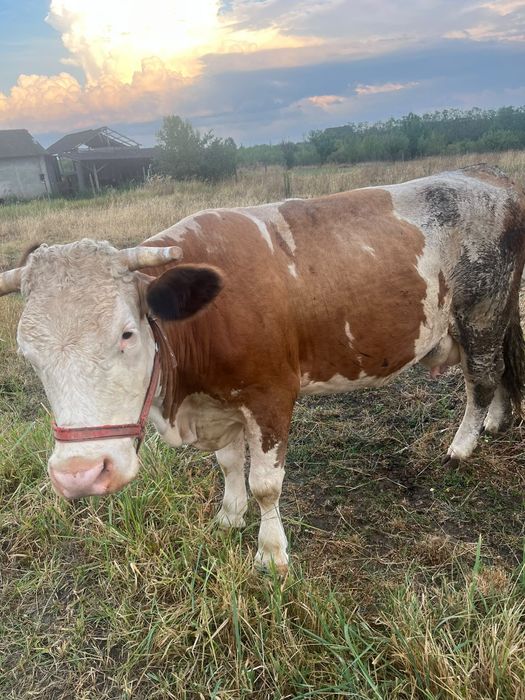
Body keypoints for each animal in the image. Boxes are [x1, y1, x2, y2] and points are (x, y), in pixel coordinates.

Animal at [1, 164, 524, 573]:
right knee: (500, 373)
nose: (80, 475)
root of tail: (489, 176)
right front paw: (228, 517)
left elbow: (266, 485)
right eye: (28, 354)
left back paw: (462, 445)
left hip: (482, 316)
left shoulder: (271, 398)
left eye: (127, 333)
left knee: (482, 379)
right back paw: (497, 422)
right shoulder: (220, 403)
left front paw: (271, 555)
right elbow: (230, 464)